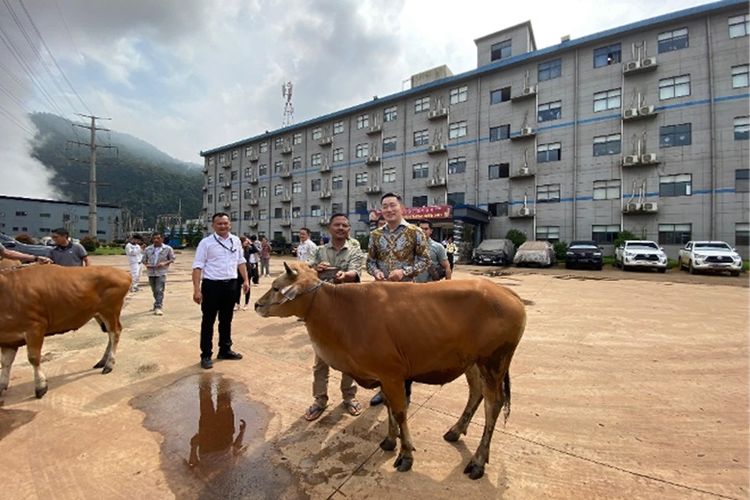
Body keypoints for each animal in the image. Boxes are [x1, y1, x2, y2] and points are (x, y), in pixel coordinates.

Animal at [0, 262, 131, 398]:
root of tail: (124, 273)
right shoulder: (8, 340)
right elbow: (5, 362)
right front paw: (2, 386)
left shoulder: (35, 328)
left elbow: (33, 358)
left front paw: (41, 386)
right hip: (98, 313)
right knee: (110, 334)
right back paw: (103, 361)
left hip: (110, 310)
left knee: (115, 332)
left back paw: (109, 364)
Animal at [258, 260, 528, 478]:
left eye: (276, 287)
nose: (257, 305)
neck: (341, 311)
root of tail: (507, 292)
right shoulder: (384, 377)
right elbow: (388, 406)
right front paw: (389, 440)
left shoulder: (391, 375)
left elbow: (399, 412)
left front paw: (406, 454)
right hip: (472, 363)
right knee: (476, 393)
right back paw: (455, 431)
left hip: (494, 362)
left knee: (493, 405)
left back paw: (478, 462)